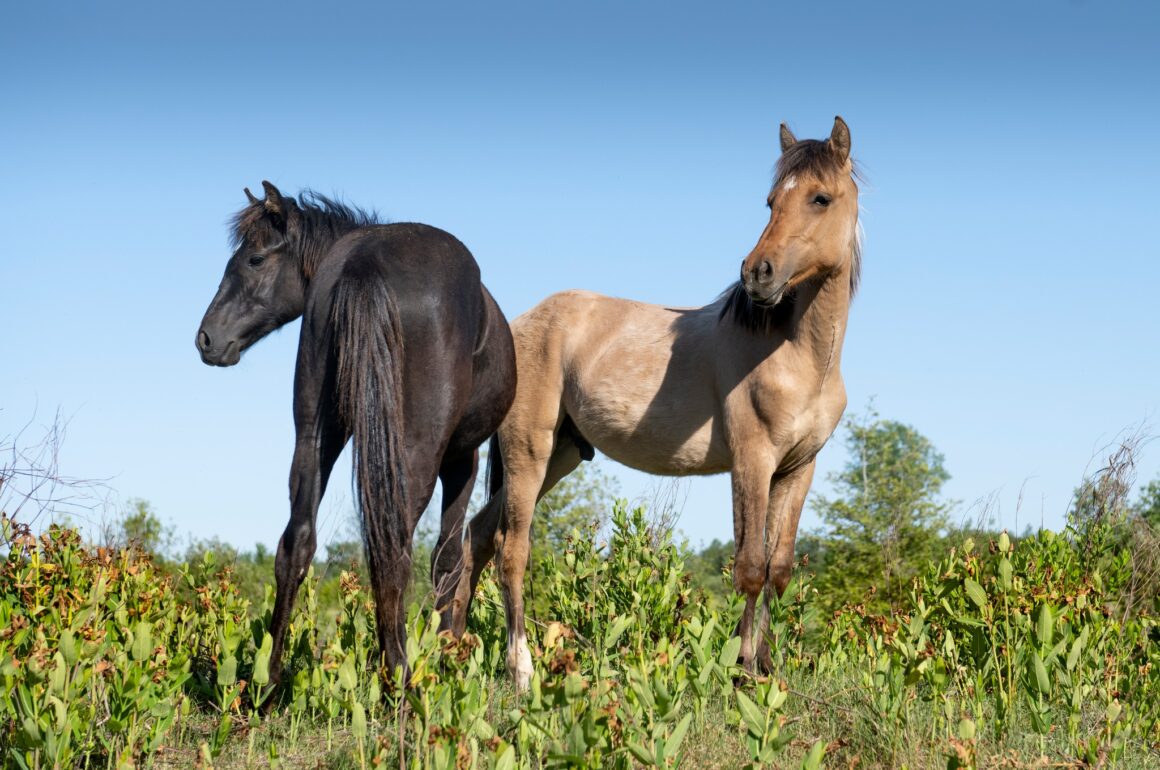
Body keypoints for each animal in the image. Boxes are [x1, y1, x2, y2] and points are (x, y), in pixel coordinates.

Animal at [197, 182, 515, 686]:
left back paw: (271, 682)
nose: (206, 338)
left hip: (314, 435)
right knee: (393, 554)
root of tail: (364, 264)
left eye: (254, 260)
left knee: (296, 543)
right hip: (418, 454)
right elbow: (447, 559)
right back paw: (400, 679)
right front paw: (447, 656)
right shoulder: (461, 458)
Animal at [452, 115, 863, 686]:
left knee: (477, 537)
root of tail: (517, 327)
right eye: (770, 201)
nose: (758, 273)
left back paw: (450, 653)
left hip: (560, 456)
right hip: (528, 454)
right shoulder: (752, 461)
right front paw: (741, 673)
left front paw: (767, 669)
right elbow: (749, 568)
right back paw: (522, 671)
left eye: (820, 198)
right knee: (512, 551)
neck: (796, 354)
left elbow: (778, 570)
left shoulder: (798, 468)